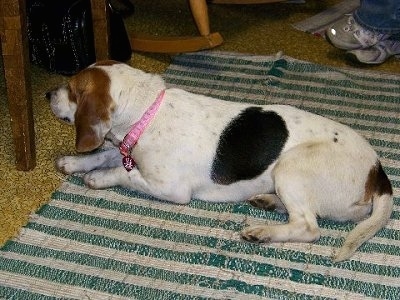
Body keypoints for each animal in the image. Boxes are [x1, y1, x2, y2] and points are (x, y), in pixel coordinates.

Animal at [47, 59, 394, 262]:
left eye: (72, 88)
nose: (48, 94)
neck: (149, 111)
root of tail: (378, 172)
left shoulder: (171, 188)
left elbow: (124, 171)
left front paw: (99, 178)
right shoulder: (124, 146)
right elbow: (105, 154)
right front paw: (74, 163)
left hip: (291, 167)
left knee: (309, 226)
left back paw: (263, 232)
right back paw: (269, 202)